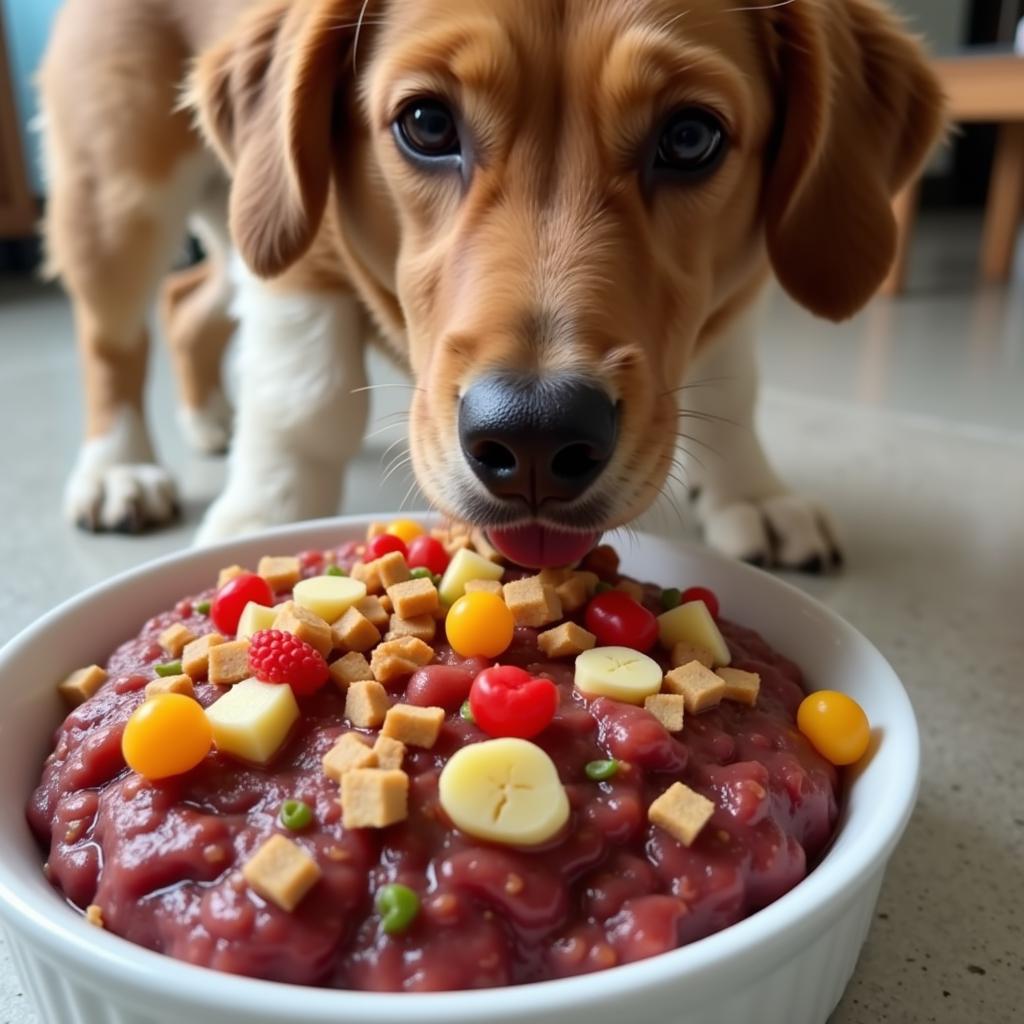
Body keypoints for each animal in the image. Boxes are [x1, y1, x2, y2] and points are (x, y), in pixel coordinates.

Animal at [37, 0, 942, 569]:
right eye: (427, 123)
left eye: (691, 137)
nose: (536, 441)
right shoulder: (300, 249)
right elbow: (306, 403)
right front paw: (269, 515)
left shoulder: (739, 283)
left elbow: (732, 386)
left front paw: (752, 491)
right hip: (126, 198)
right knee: (113, 335)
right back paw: (120, 467)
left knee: (186, 303)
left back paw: (208, 418)